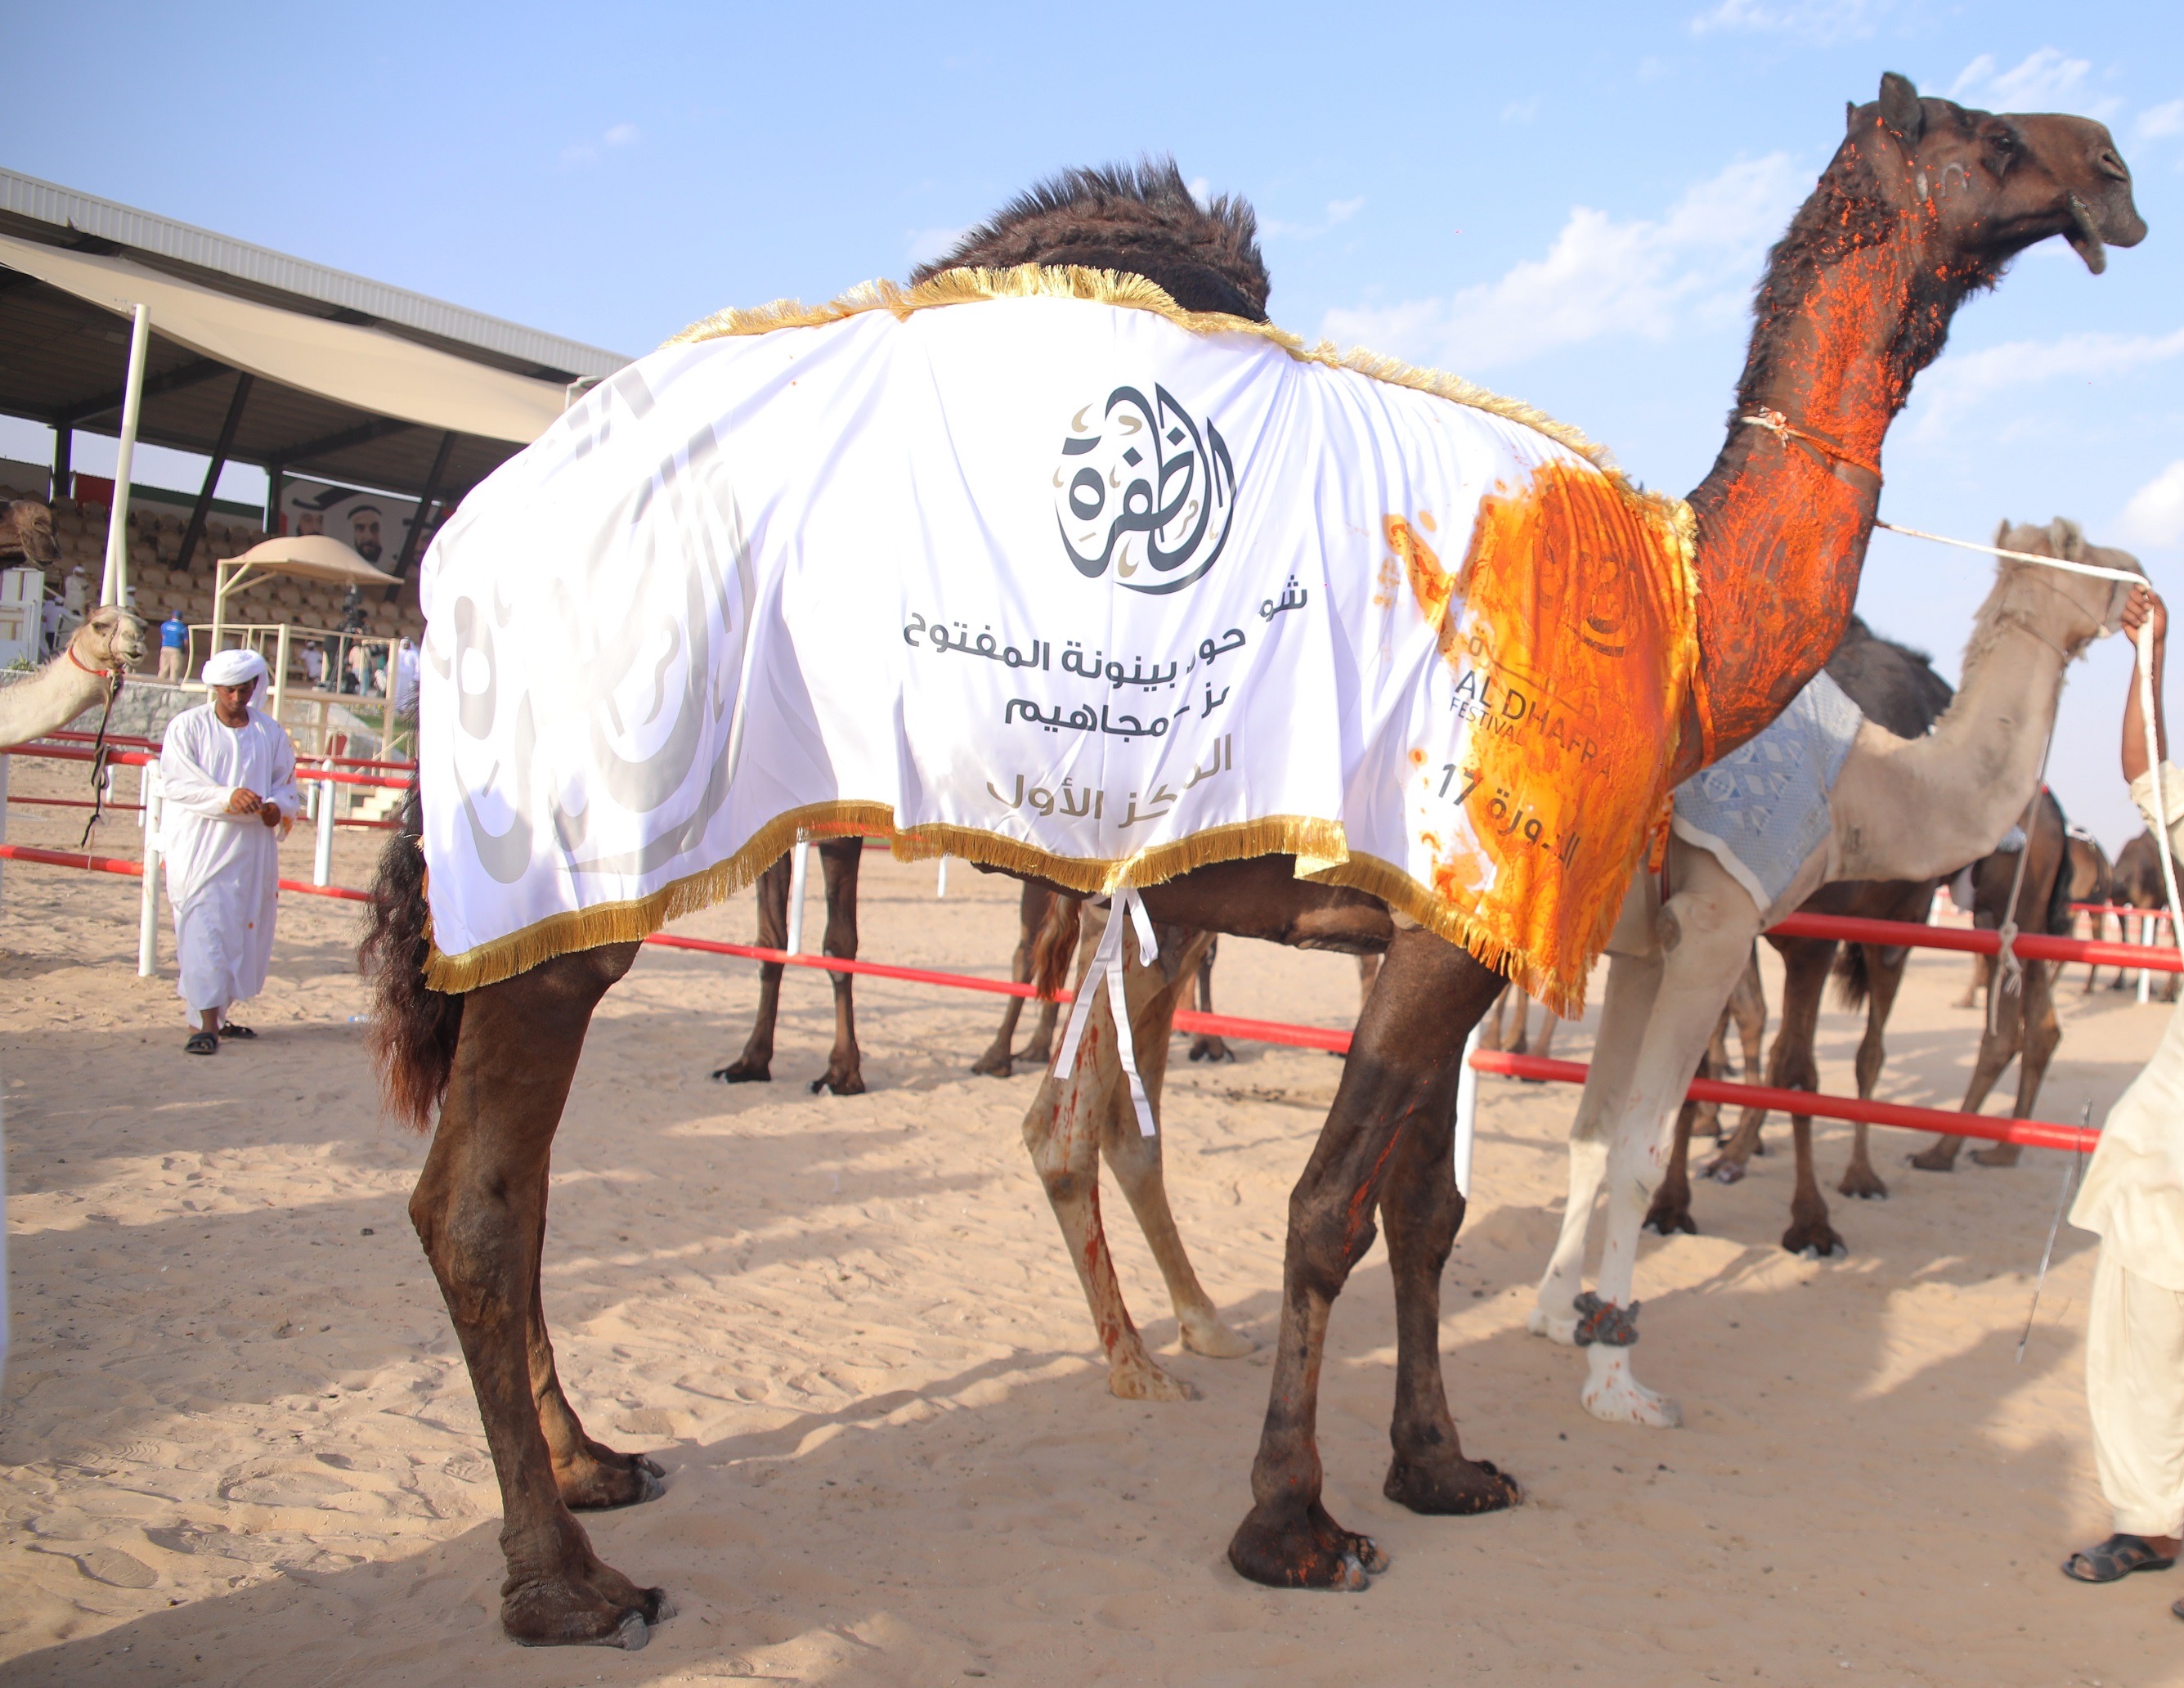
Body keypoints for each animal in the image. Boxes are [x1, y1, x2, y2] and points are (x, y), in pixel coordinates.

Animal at [1642, 620, 1957, 1249]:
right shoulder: (1718, 916)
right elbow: (1702, 1059)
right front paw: (1670, 1203)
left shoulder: (1814, 940)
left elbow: (1799, 1069)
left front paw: (1811, 1221)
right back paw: (1733, 1155)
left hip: (1901, 920)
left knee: (1868, 1048)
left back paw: (1859, 1175)